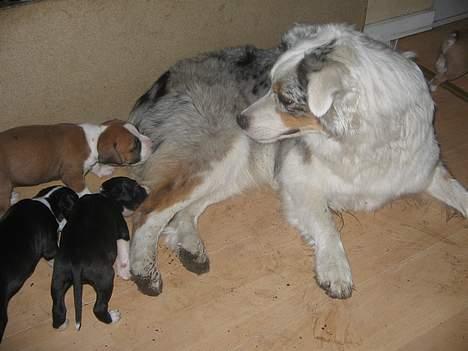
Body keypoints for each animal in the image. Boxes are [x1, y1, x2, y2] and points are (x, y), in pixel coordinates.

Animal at [0, 120, 152, 214]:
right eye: (135, 146)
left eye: (138, 130)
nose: (152, 142)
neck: (95, 138)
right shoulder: (73, 177)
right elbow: (84, 191)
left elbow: (95, 166)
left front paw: (103, 170)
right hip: (4, 186)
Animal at [50, 177, 147, 332]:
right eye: (136, 187)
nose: (146, 188)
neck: (106, 195)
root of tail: (76, 264)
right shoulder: (122, 230)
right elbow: (123, 252)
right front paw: (125, 272)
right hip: (105, 278)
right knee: (98, 308)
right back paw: (113, 317)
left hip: (59, 278)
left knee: (57, 307)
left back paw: (62, 325)